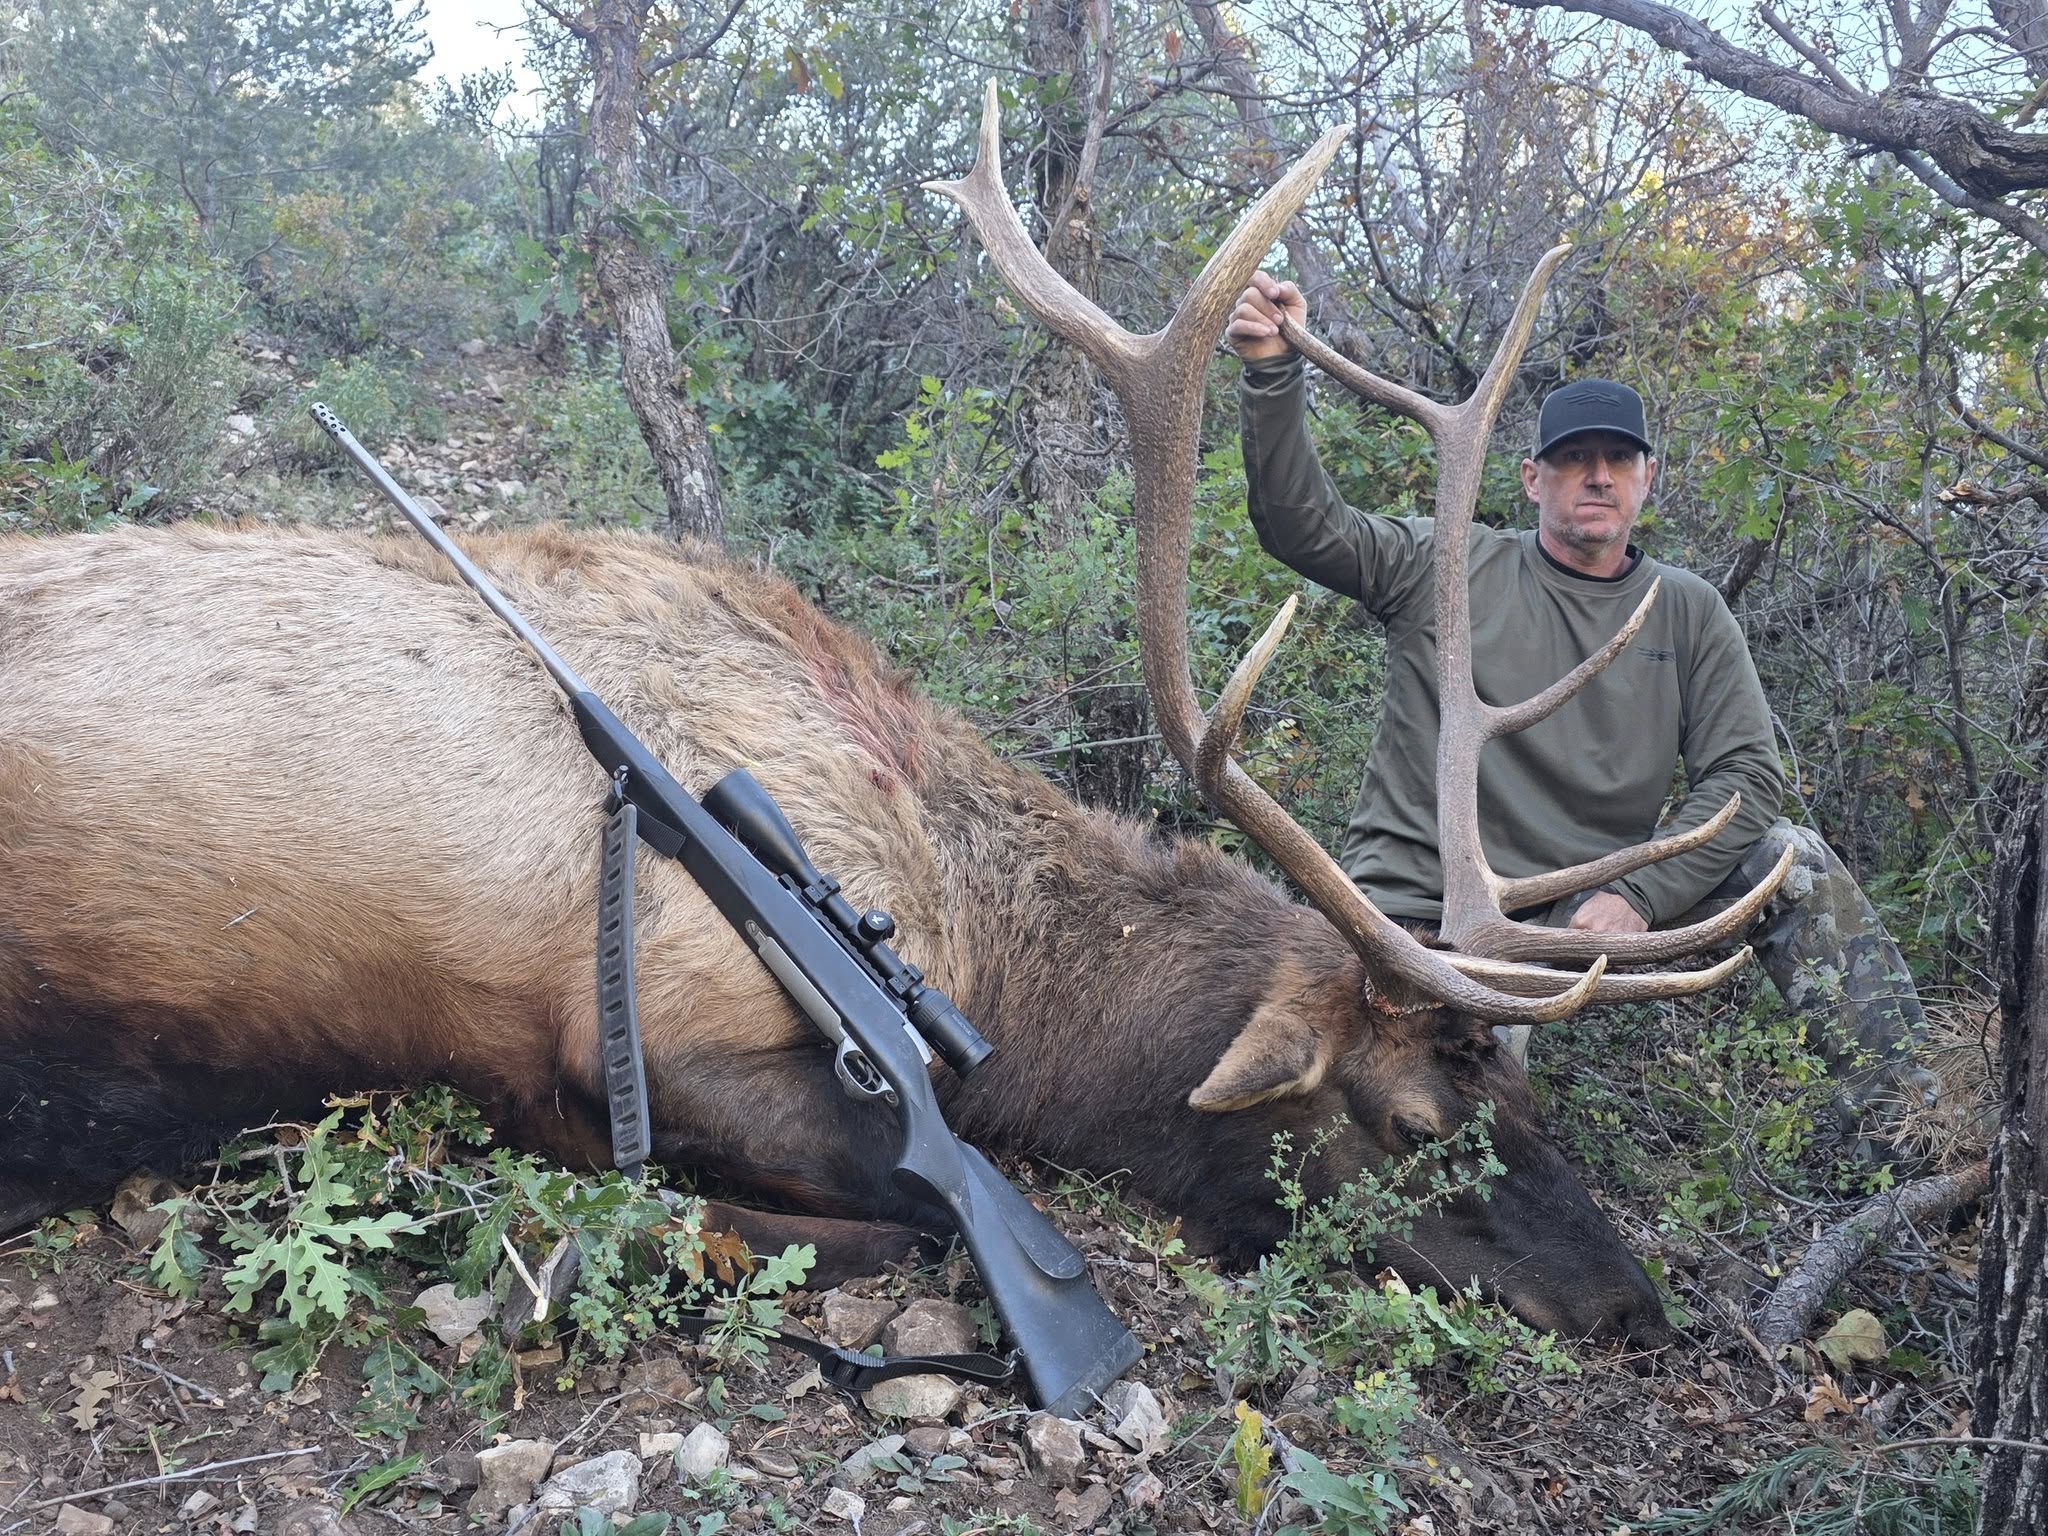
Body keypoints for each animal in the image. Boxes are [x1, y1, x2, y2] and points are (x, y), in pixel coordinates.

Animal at [0, 93, 1786, 1351]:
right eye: (1411, 1120)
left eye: (1534, 1098)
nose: (1638, 1309)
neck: (986, 949)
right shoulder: (653, 1029)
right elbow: (906, 1209)